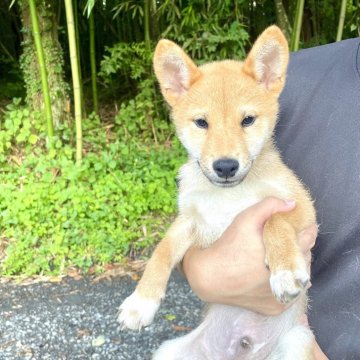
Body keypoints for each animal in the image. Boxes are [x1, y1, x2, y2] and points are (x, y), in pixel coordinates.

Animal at [117, 26, 316, 360]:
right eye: (201, 123)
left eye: (247, 120)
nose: (225, 166)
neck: (228, 196)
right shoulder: (191, 220)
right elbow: (161, 251)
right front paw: (140, 302)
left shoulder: (300, 206)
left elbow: (274, 220)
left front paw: (285, 270)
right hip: (169, 351)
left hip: (297, 342)